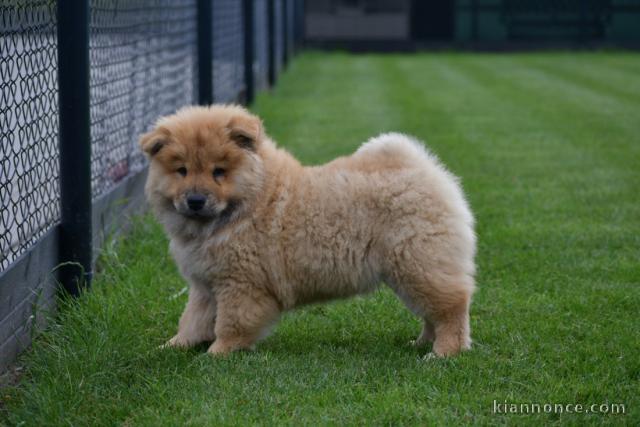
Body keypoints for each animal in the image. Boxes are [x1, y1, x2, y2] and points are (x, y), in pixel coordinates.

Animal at [141, 104, 480, 358]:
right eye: (182, 171)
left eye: (218, 172)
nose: (195, 200)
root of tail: (425, 170)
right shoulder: (205, 285)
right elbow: (192, 320)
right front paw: (173, 347)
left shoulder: (240, 285)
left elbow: (229, 324)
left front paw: (216, 353)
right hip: (409, 271)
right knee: (431, 313)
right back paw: (421, 343)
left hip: (418, 263)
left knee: (452, 308)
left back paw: (443, 352)